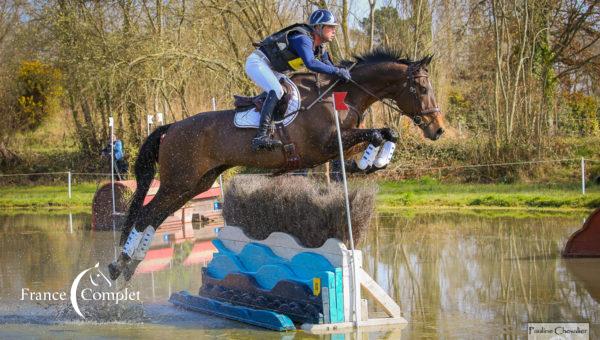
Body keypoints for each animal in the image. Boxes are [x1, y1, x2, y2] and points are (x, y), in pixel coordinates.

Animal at [108, 47, 446, 282]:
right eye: (423, 89)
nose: (438, 129)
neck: (343, 96)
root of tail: (172, 127)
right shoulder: (324, 146)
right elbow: (379, 133)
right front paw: (371, 161)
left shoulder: (339, 146)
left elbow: (386, 133)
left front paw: (372, 163)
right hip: (179, 181)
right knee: (147, 214)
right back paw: (119, 265)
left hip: (196, 183)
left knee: (155, 216)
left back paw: (128, 265)